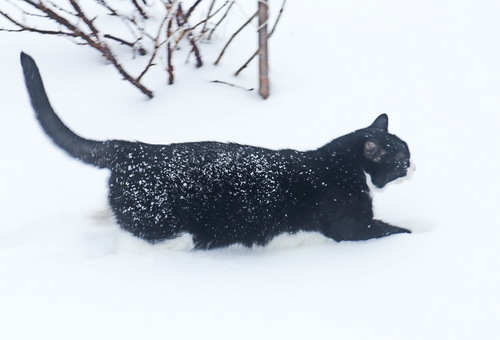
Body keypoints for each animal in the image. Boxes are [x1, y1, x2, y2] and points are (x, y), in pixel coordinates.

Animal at [19, 53, 412, 250]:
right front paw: (417, 237)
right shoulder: (352, 227)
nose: (413, 166)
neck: (347, 163)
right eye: (401, 159)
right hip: (161, 221)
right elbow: (394, 231)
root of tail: (134, 149)